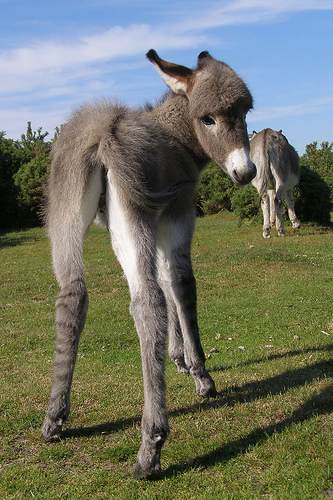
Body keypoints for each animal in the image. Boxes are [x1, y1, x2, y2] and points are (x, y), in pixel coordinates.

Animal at [40, 48, 254, 478]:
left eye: (244, 112)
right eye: (208, 119)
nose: (247, 172)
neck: (176, 136)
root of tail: (104, 132)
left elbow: (168, 284)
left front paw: (178, 358)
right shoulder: (177, 212)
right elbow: (181, 286)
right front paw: (200, 374)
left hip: (65, 212)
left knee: (75, 295)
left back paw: (55, 417)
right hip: (132, 211)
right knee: (149, 302)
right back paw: (151, 445)